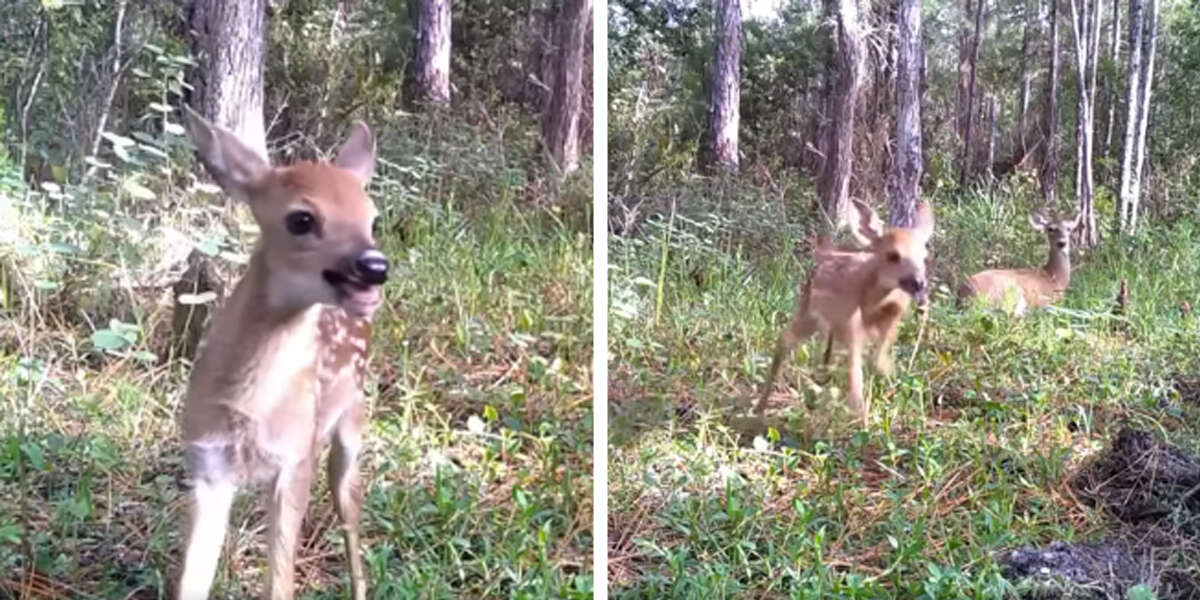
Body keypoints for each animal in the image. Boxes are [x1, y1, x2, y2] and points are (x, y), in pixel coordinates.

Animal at [175, 105, 387, 600]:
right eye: (301, 219)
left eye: (372, 219)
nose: (375, 266)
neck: (250, 405)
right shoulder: (208, 463)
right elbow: (191, 581)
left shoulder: (295, 459)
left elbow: (280, 583)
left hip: (351, 425)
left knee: (352, 516)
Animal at [756, 200, 935, 426]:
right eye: (893, 255)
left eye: (924, 256)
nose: (919, 283)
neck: (873, 299)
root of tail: (824, 253)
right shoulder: (851, 322)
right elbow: (855, 374)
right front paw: (864, 423)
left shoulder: (893, 317)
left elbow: (877, 359)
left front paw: (892, 380)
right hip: (807, 312)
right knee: (785, 342)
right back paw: (760, 408)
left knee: (824, 355)